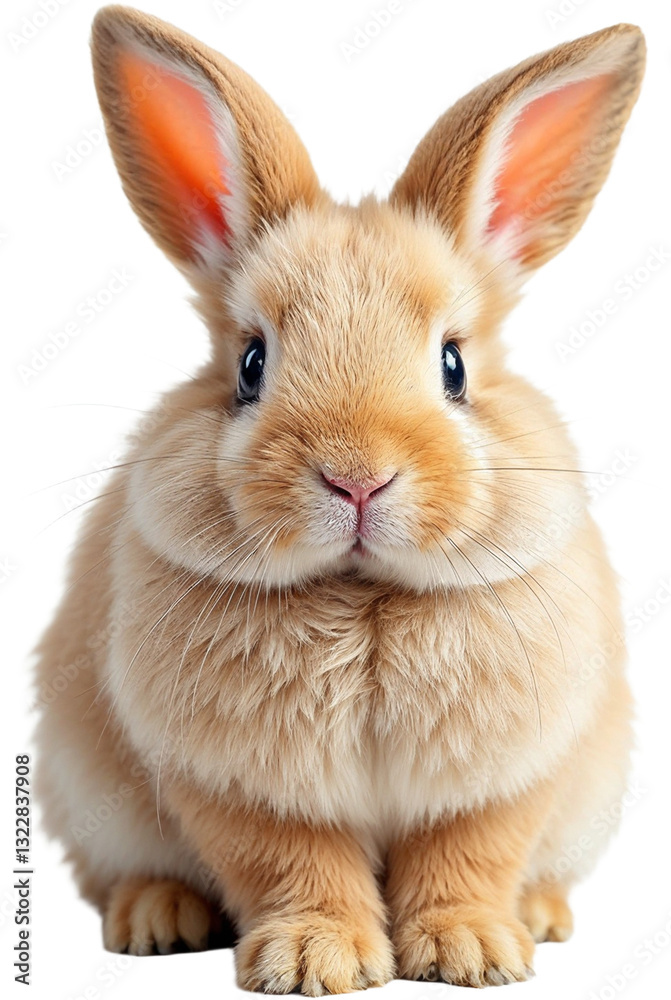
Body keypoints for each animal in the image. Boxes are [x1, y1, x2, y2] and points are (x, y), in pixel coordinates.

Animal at [34, 5, 645, 994]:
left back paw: (540, 916)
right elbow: (293, 865)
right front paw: (314, 961)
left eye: (453, 366)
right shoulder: (244, 789)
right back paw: (157, 920)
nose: (356, 477)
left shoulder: (500, 781)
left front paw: (470, 952)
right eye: (251, 364)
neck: (363, 597)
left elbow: (468, 854)